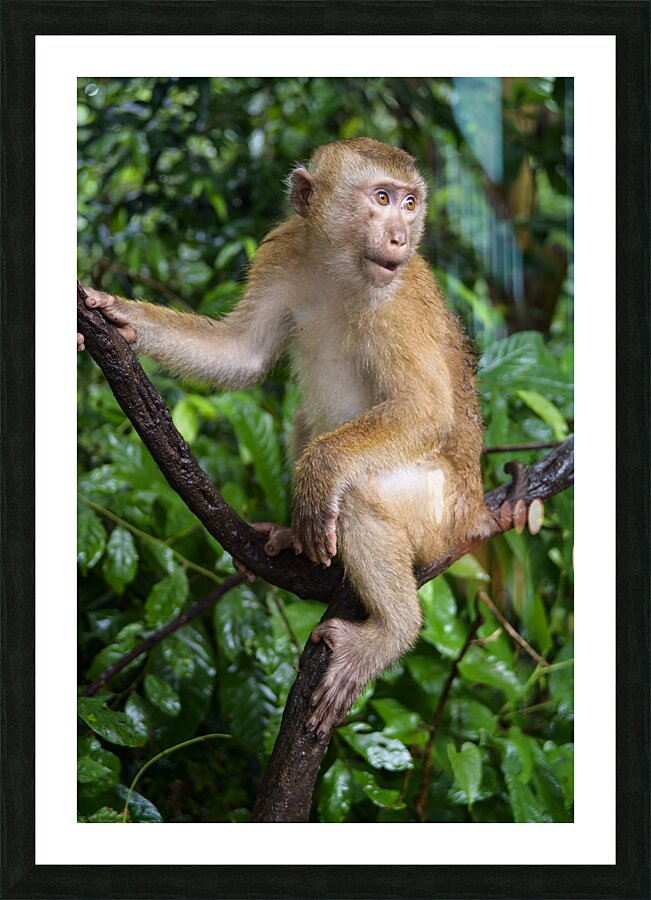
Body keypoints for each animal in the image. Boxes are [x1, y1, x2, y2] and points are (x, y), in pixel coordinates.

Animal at [78, 137, 493, 737]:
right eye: (383, 198)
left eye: (410, 202)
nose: (400, 236)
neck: (341, 269)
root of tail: (474, 511)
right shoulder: (284, 249)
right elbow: (242, 354)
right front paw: (120, 316)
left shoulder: (398, 302)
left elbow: (425, 408)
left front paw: (319, 476)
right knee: (304, 422)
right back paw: (297, 539)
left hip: (438, 516)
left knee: (359, 493)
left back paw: (392, 630)